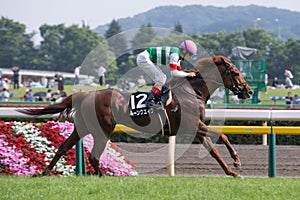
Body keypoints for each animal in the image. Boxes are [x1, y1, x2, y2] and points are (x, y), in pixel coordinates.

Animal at [18, 55, 253, 178]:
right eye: (236, 72)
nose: (249, 91)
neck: (191, 92)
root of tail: (86, 94)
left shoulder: (197, 129)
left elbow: (214, 151)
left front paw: (232, 172)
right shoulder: (193, 126)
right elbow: (223, 136)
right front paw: (237, 161)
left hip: (82, 128)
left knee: (63, 147)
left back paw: (43, 172)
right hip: (103, 129)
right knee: (93, 156)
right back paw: (103, 177)